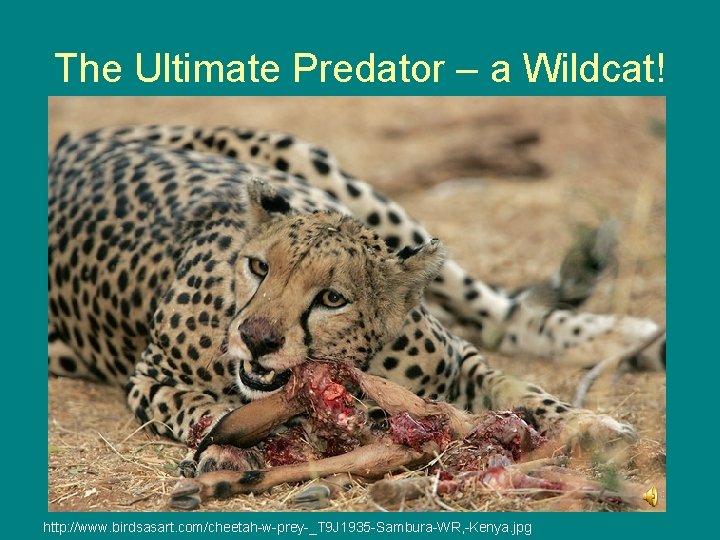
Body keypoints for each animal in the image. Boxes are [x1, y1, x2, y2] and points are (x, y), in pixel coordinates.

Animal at [48, 125, 664, 476]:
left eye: (332, 298)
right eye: (258, 267)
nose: (256, 338)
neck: (357, 364)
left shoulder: (458, 362)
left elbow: (520, 388)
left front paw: (589, 424)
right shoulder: (149, 379)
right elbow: (202, 407)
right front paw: (226, 444)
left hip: (337, 178)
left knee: (500, 313)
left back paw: (625, 336)